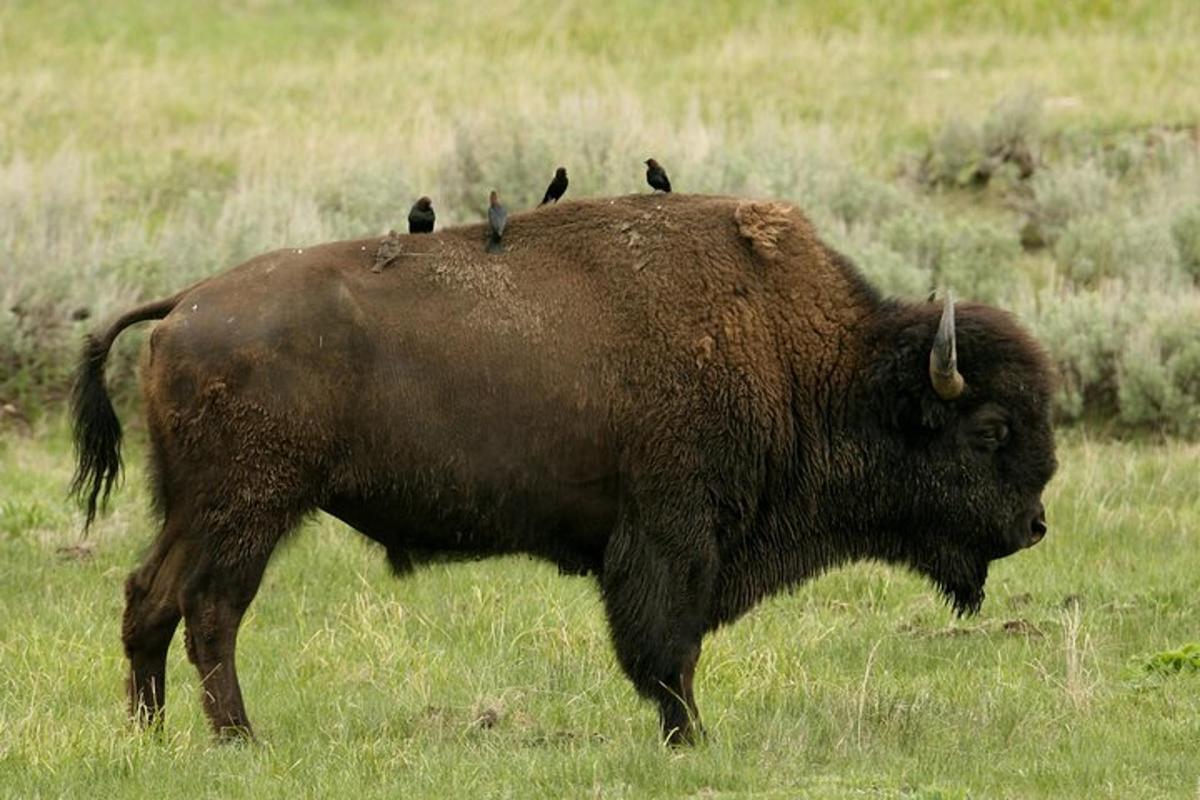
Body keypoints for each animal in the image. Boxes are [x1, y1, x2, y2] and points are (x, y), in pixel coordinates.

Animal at [70, 194, 1056, 743]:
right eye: (991, 430)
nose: (1036, 525)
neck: (801, 358)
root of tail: (184, 304)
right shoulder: (670, 539)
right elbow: (668, 651)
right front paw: (693, 740)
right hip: (248, 512)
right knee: (211, 614)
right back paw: (240, 740)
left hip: (194, 511)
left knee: (149, 598)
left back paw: (151, 735)